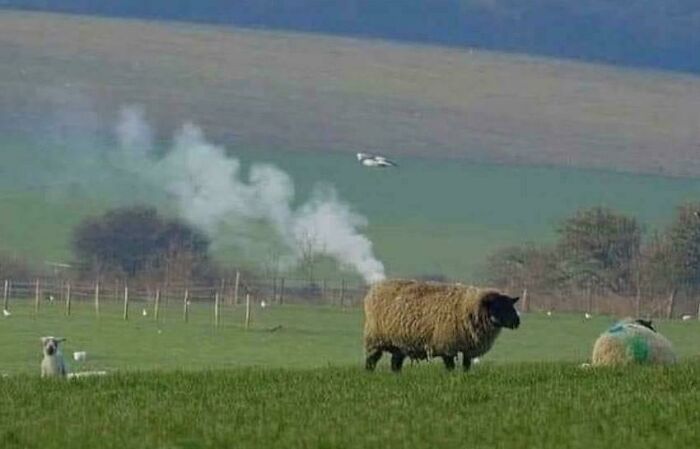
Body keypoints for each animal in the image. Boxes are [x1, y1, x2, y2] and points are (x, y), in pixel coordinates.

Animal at [363, 279, 520, 372]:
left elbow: (466, 365)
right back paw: (369, 373)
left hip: (399, 343)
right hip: (375, 339)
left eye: (510, 305)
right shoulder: (447, 345)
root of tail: (374, 289)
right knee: (371, 360)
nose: (517, 322)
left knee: (395, 363)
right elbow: (450, 366)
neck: (469, 307)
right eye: (497, 307)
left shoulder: (468, 348)